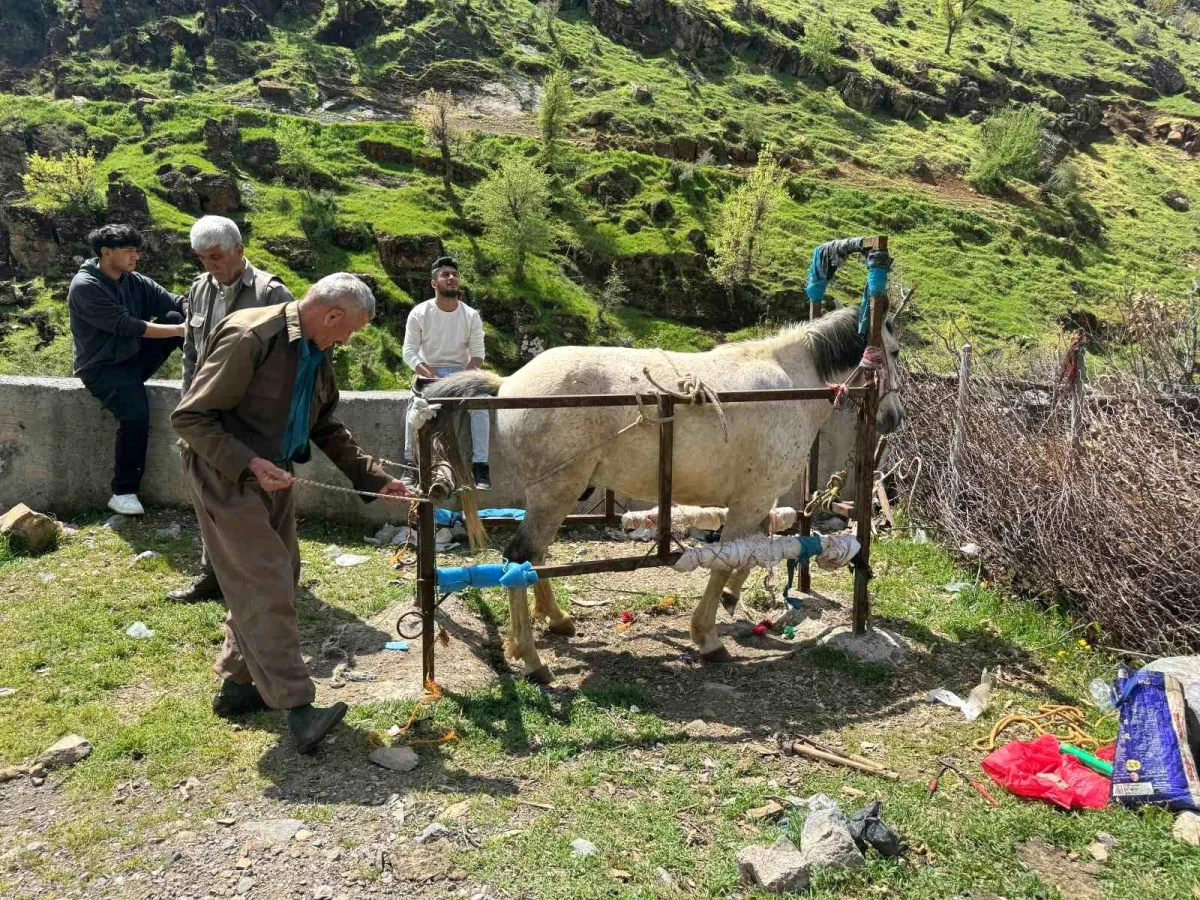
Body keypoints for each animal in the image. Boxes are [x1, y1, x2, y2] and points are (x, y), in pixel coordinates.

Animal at [422, 309, 902, 681]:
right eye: (895, 352)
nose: (894, 418)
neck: (790, 384)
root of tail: (507, 384)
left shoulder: (757, 498)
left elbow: (754, 551)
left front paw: (731, 599)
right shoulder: (753, 498)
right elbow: (730, 559)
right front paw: (707, 636)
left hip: (552, 497)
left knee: (534, 559)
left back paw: (556, 621)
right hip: (555, 492)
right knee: (519, 559)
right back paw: (531, 658)